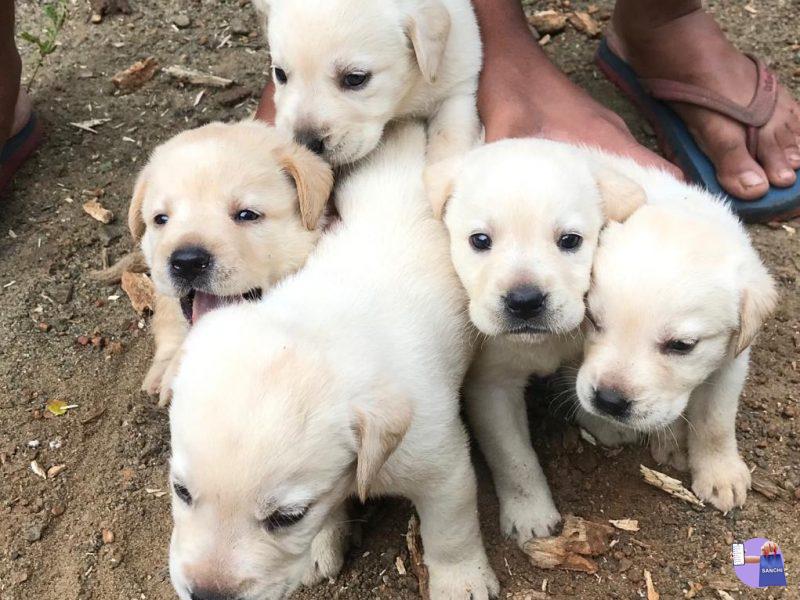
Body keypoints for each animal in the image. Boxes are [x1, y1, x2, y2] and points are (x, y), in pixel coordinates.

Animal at [166, 123, 496, 600]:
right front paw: (324, 541)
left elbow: (451, 532)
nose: (208, 595)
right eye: (181, 491)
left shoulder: (441, 467)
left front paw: (461, 581)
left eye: (288, 517)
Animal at [428, 138, 648, 548]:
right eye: (480, 240)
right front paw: (530, 515)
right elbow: (515, 458)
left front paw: (603, 419)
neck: (538, 343)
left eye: (570, 241)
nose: (525, 301)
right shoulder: (492, 387)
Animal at [576, 156, 776, 510]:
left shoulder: (732, 361)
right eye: (593, 320)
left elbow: (715, 420)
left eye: (682, 345)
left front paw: (719, 472)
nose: (609, 402)